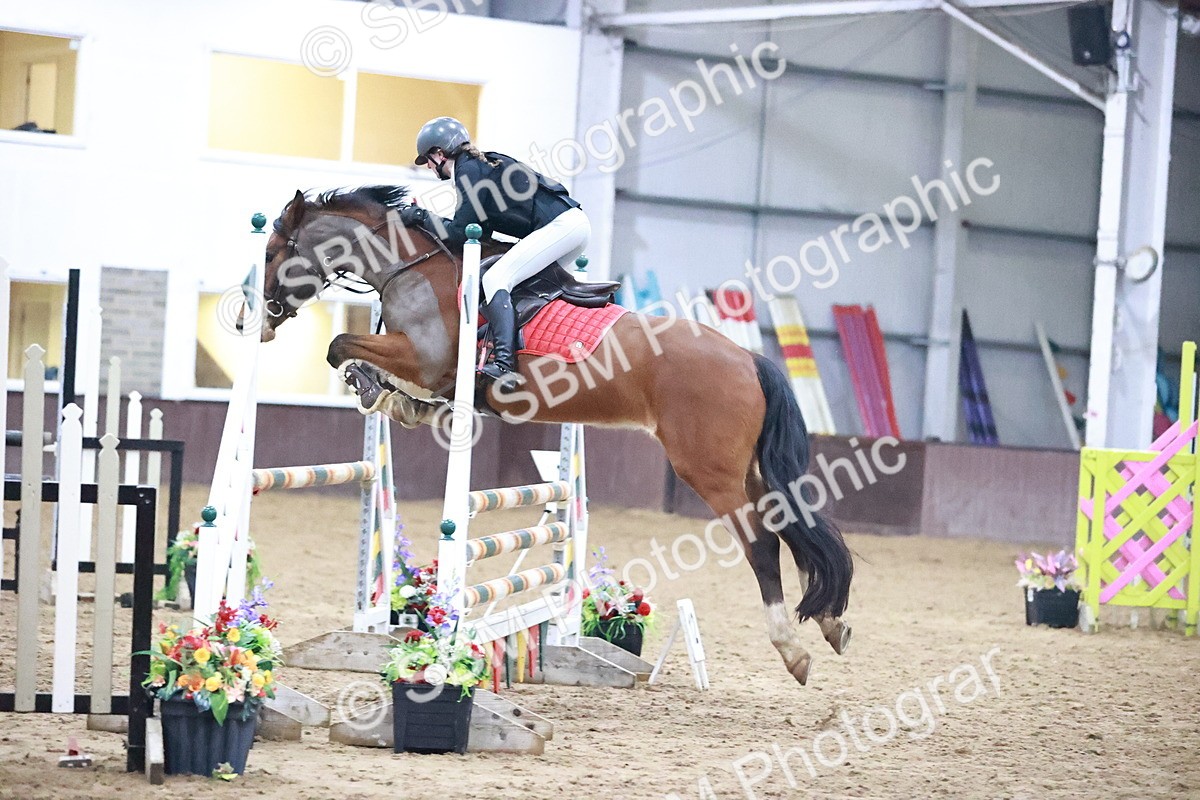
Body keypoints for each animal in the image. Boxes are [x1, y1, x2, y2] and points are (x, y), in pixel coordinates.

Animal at [253, 186, 853, 685]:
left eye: (272, 252)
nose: (256, 321)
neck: (411, 269)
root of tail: (749, 359)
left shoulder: (425, 359)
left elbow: (340, 344)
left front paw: (369, 384)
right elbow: (386, 380)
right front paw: (396, 400)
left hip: (709, 471)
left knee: (761, 543)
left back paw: (793, 650)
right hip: (745, 470)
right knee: (792, 526)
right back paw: (830, 623)